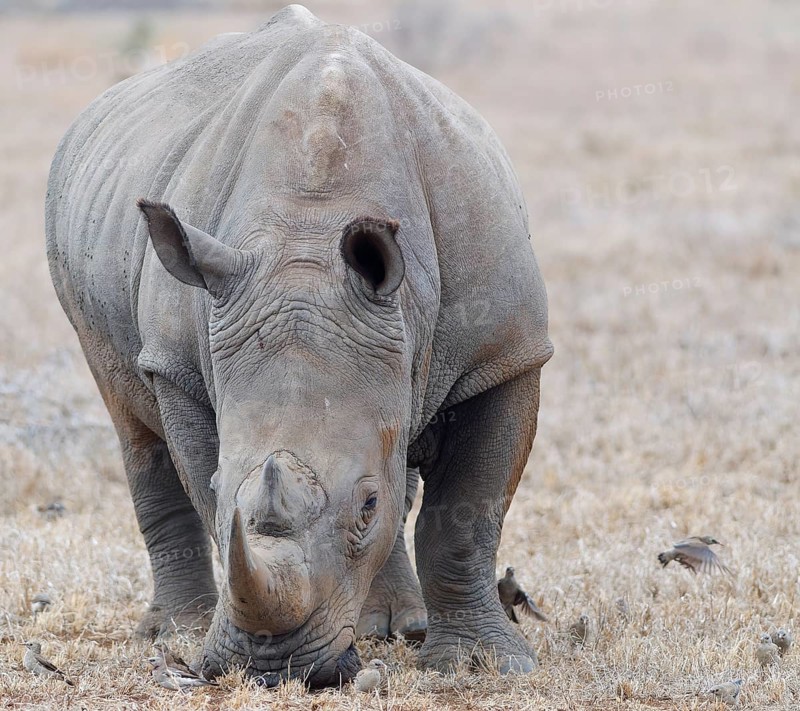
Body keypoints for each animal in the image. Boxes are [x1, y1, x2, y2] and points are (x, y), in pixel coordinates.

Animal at [45, 4, 552, 687]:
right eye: (218, 485)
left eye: (367, 506)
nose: (271, 665)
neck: (309, 232)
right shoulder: (179, 364)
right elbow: (206, 489)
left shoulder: (504, 354)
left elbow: (466, 516)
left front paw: (484, 665)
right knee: (133, 424)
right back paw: (175, 634)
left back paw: (398, 627)